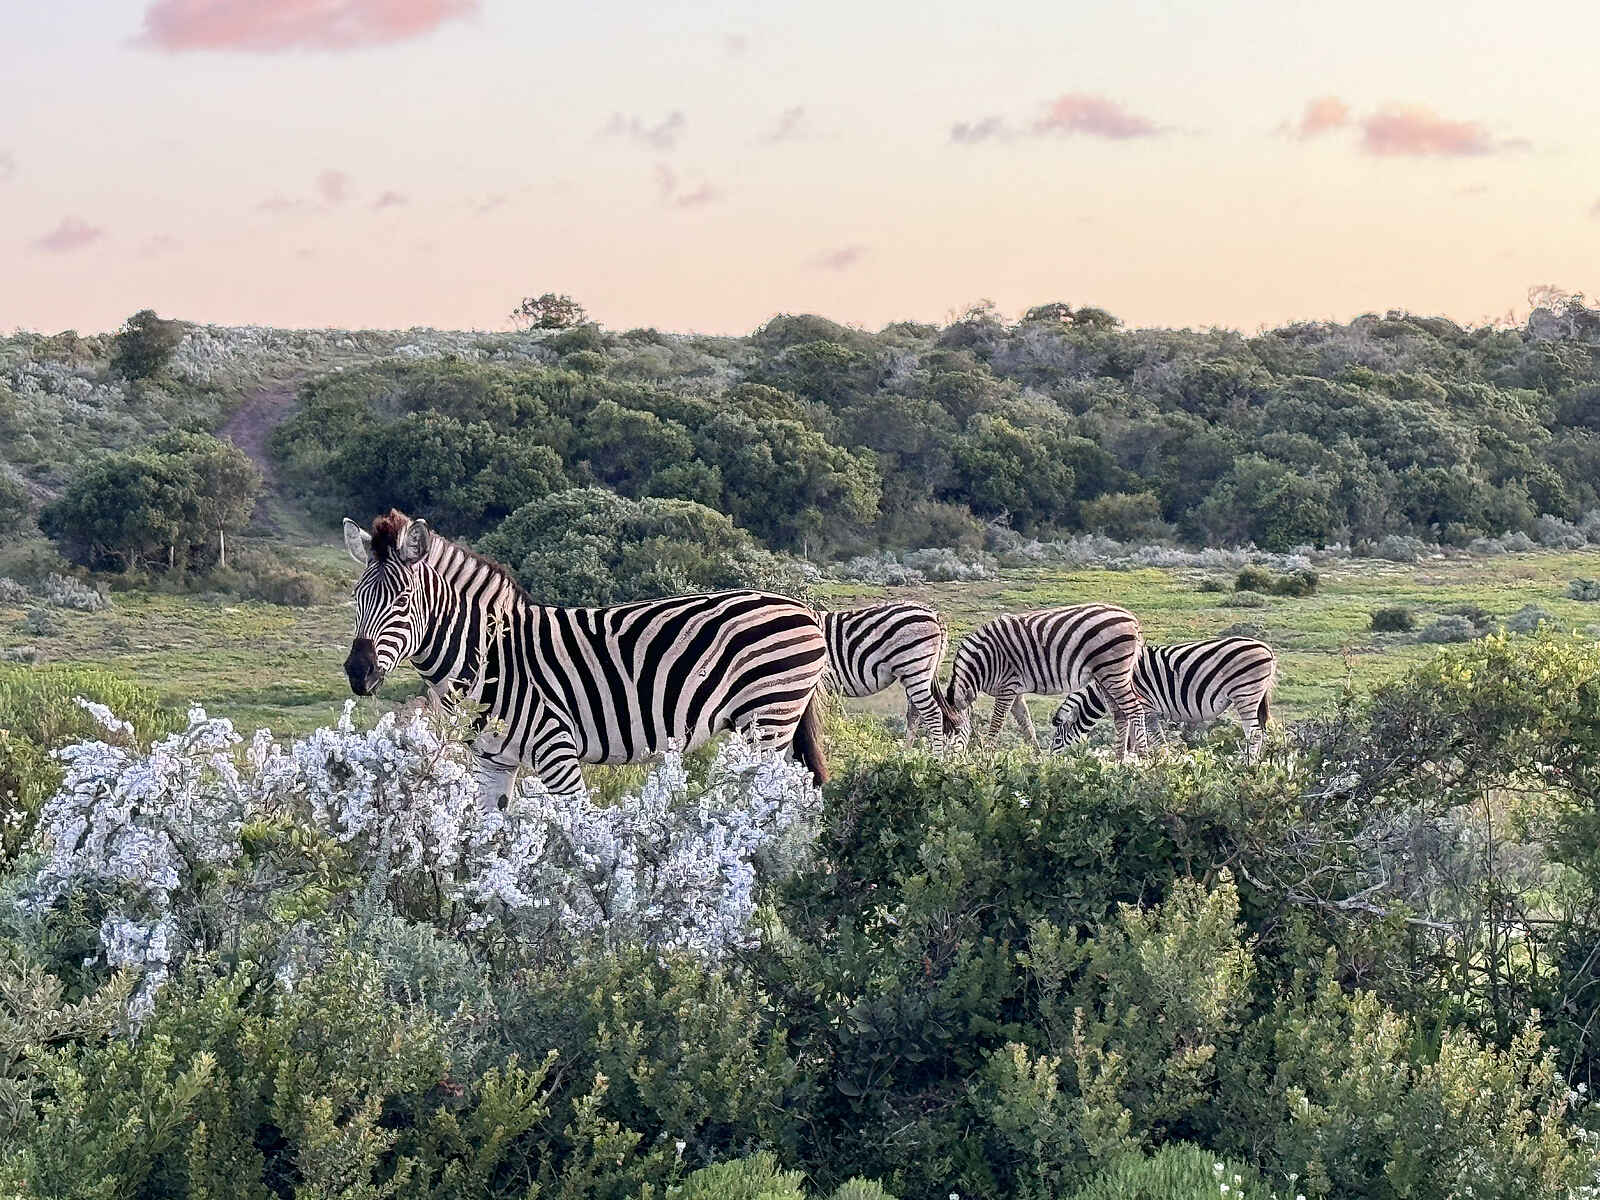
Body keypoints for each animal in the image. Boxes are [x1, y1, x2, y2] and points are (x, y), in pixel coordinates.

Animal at [341, 510, 829, 806]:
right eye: (355, 598)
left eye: (403, 599)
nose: (357, 673)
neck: (489, 658)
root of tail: (803, 608)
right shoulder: (492, 760)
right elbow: (488, 836)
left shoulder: (556, 749)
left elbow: (577, 833)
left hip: (767, 721)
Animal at [821, 602, 949, 750]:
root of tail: (934, 614)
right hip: (916, 675)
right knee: (915, 714)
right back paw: (906, 753)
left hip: (915, 669)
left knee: (932, 713)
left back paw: (936, 755)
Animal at [940, 604, 1149, 757]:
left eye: (953, 733)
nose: (946, 761)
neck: (983, 663)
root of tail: (1133, 620)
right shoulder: (1015, 692)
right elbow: (1027, 725)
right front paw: (1037, 758)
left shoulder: (1007, 686)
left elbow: (997, 723)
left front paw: (986, 756)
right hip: (1105, 677)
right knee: (1121, 715)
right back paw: (1119, 760)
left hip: (1113, 672)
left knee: (1135, 711)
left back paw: (1144, 758)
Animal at [1050, 636, 1277, 759]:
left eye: (1057, 739)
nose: (1051, 761)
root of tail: (1267, 649)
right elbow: (1135, 740)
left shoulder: (1146, 707)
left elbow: (1152, 739)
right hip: (1253, 696)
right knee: (1260, 731)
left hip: (1245, 693)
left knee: (1254, 734)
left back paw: (1247, 764)